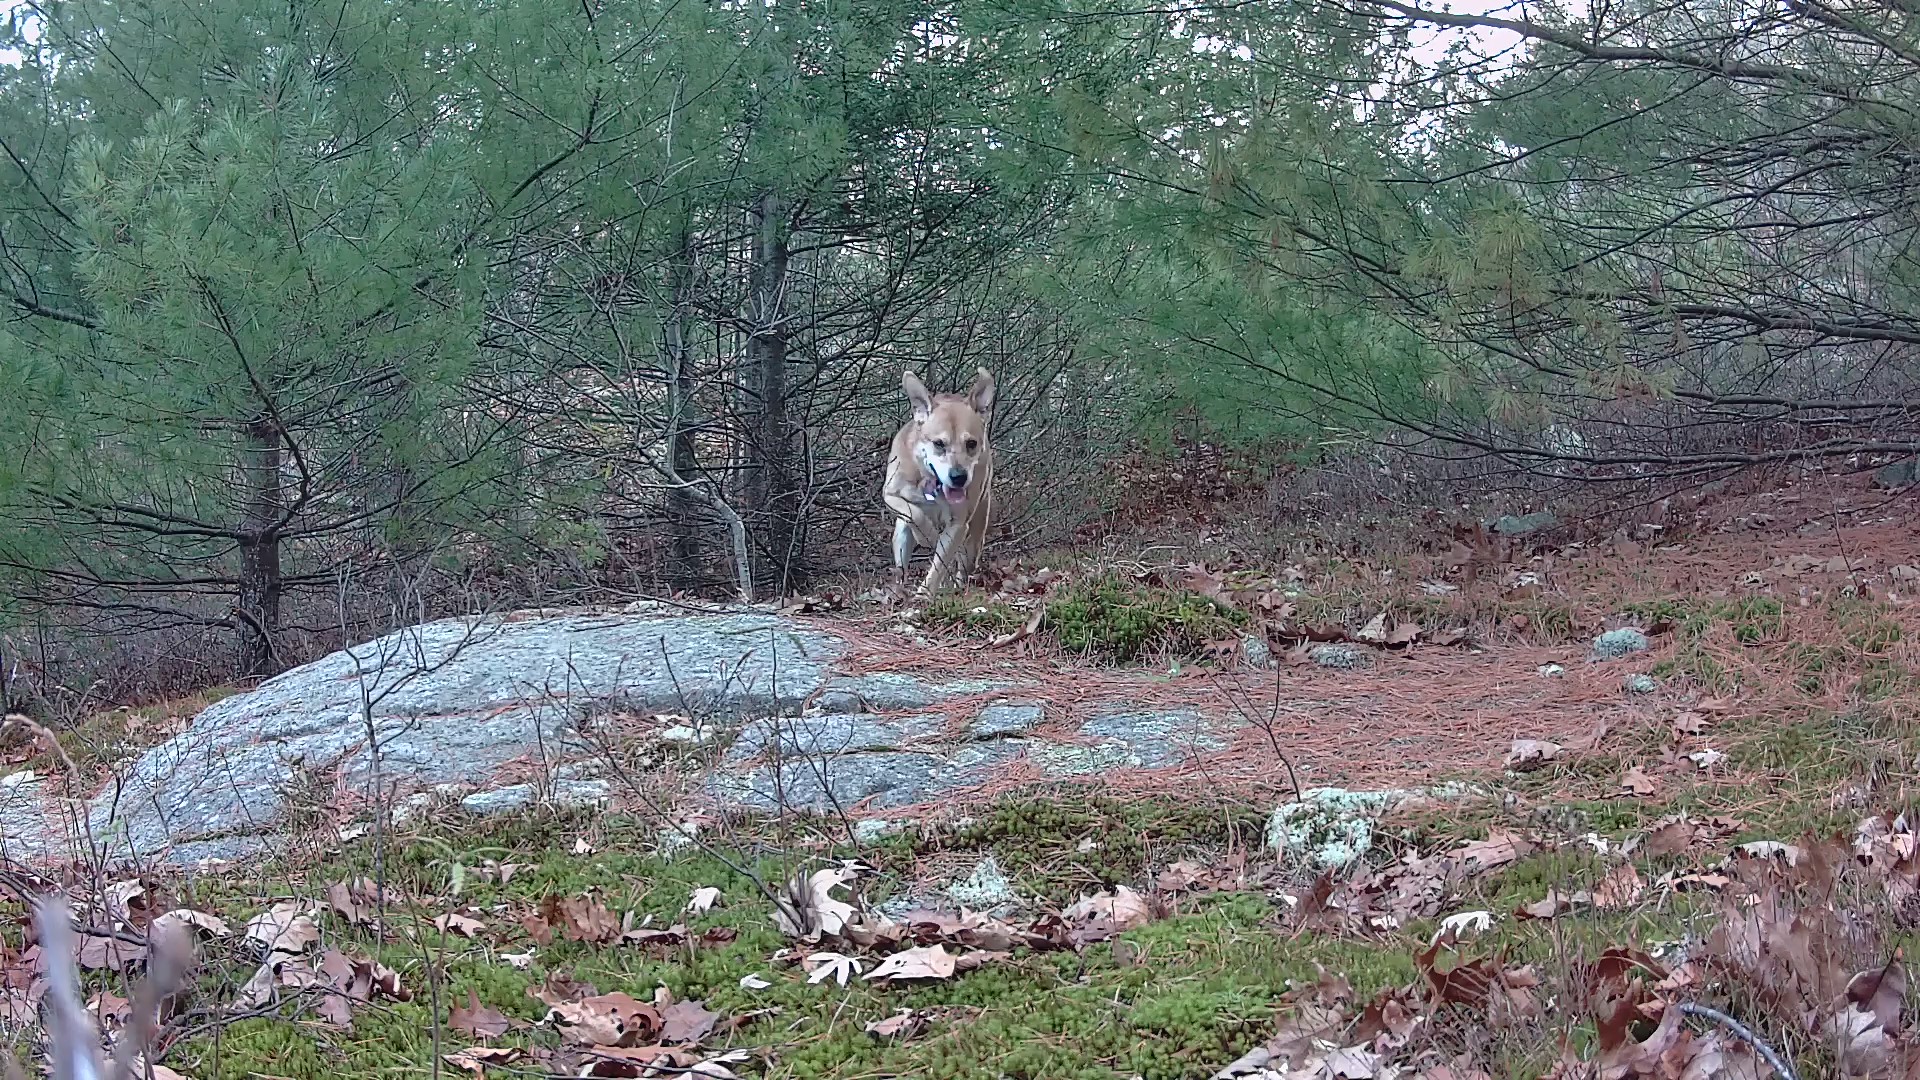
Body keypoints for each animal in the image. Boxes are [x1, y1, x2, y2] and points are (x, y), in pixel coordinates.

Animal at [883, 367, 995, 596]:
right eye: (938, 443)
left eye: (971, 443)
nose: (959, 477)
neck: (931, 481)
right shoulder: (890, 495)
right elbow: (915, 514)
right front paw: (926, 535)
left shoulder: (958, 524)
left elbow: (940, 563)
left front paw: (925, 594)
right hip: (899, 536)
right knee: (901, 563)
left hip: (976, 536)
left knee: (963, 563)